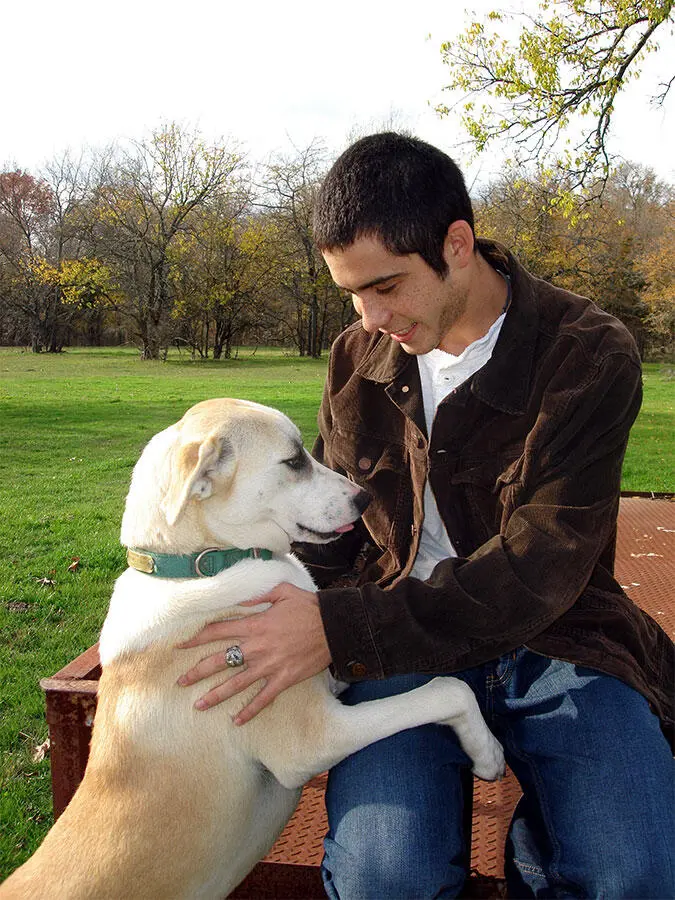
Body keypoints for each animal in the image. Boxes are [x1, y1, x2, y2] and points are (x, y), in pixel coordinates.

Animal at [1, 400, 508, 900]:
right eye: (293, 460)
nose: (364, 500)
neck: (202, 565)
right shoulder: (314, 736)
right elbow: (447, 690)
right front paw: (487, 754)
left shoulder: (326, 667)